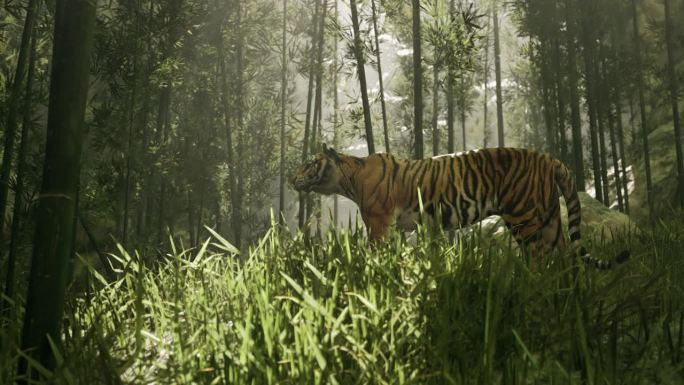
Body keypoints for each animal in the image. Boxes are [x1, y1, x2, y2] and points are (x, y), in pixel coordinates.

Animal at [292, 143, 628, 268]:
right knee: (565, 259)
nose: (291, 178)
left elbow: (375, 253)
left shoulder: (378, 223)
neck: (350, 178)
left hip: (525, 218)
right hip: (549, 218)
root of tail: (548, 157)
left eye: (309, 164)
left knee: (541, 260)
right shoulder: (399, 227)